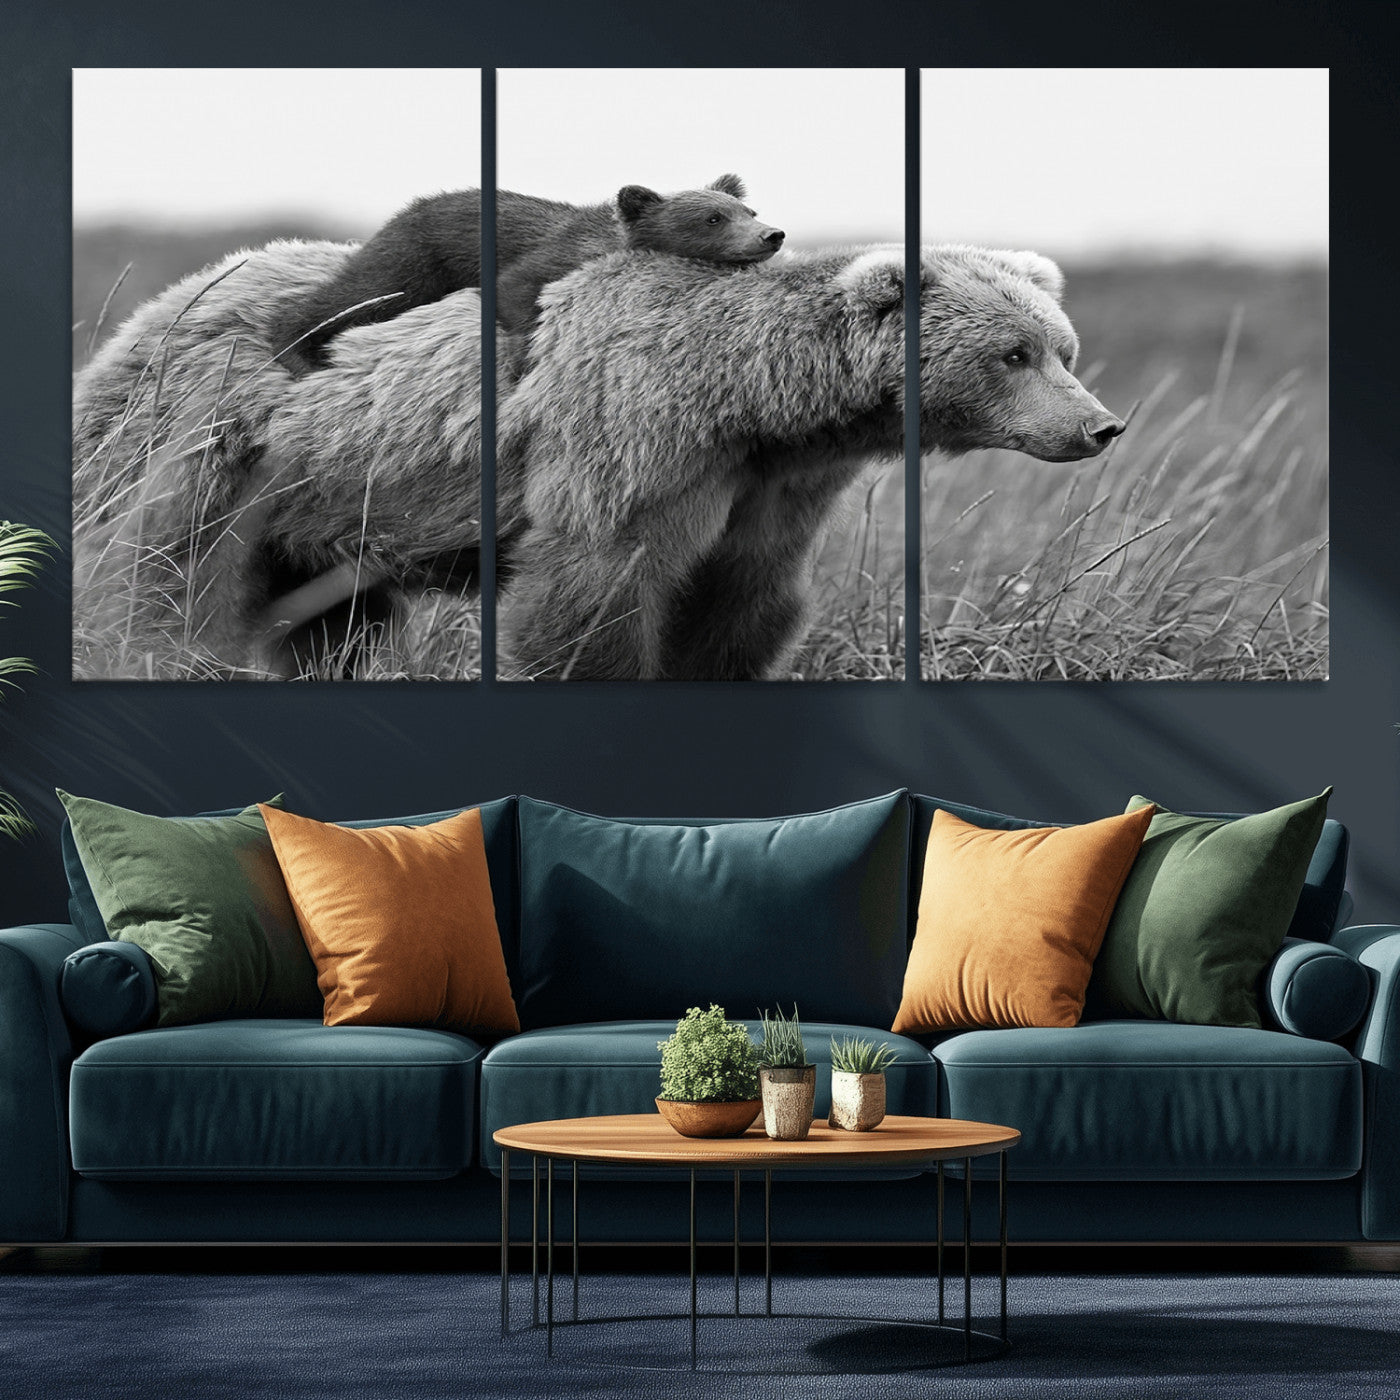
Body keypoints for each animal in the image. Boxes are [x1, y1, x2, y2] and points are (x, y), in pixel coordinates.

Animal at [262, 174, 785, 375]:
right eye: (713, 218)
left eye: (748, 209)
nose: (772, 235)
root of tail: (407, 207)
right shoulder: (549, 255)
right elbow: (515, 289)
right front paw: (522, 354)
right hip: (416, 259)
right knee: (359, 294)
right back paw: (297, 351)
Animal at [495, 242, 1125, 681]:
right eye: (1015, 354)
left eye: (1064, 352)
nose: (1101, 426)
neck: (751, 407)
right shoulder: (638, 453)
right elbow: (597, 593)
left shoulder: (776, 486)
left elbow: (738, 605)